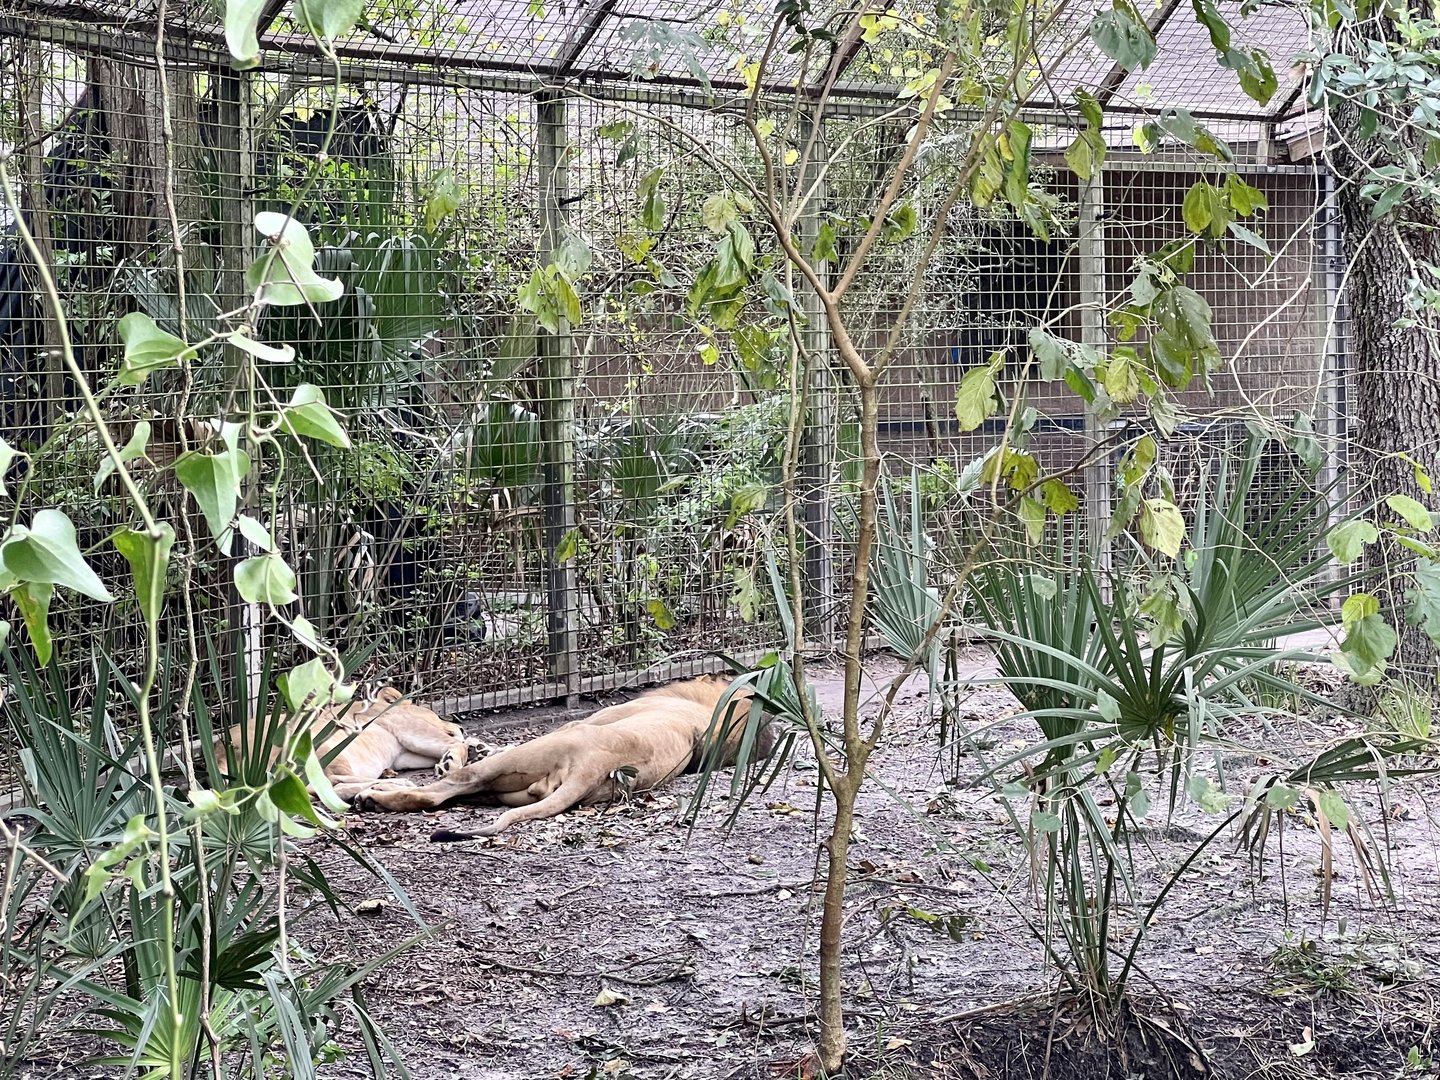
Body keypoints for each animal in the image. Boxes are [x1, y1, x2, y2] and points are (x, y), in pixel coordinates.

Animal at [351, 674, 775, 837]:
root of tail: (593, 770)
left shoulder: (583, 720)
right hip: (513, 791)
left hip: (530, 755)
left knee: (441, 792)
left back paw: (373, 798)